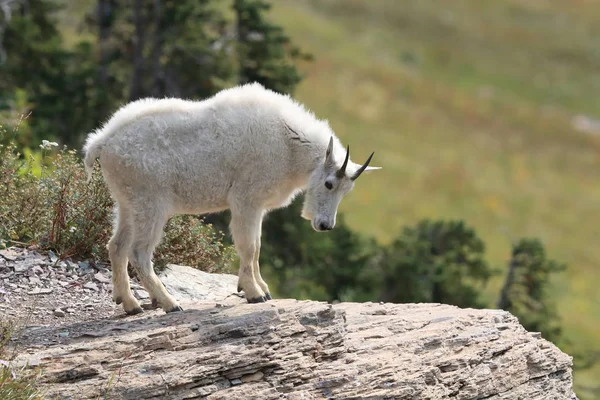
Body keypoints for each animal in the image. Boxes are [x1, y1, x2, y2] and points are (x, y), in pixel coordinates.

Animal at [82, 83, 382, 316]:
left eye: (346, 191)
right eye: (329, 183)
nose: (324, 225)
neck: (289, 144)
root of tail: (102, 142)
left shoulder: (258, 206)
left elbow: (257, 247)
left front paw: (262, 288)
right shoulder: (245, 200)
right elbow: (248, 246)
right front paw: (253, 293)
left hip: (126, 201)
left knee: (116, 246)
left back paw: (130, 303)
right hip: (151, 203)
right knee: (139, 252)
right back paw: (169, 302)